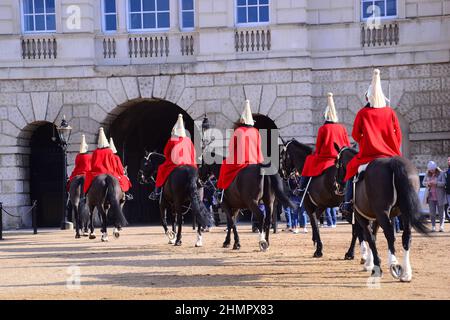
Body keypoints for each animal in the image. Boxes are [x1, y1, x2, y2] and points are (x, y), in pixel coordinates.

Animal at [338, 146, 428, 282]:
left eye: (337, 164)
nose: (337, 185)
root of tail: (392, 162)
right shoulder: (375, 218)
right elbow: (373, 236)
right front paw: (370, 263)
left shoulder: (361, 216)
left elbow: (368, 237)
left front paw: (373, 266)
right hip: (404, 212)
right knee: (406, 237)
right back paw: (406, 273)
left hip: (382, 213)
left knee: (390, 235)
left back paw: (394, 265)